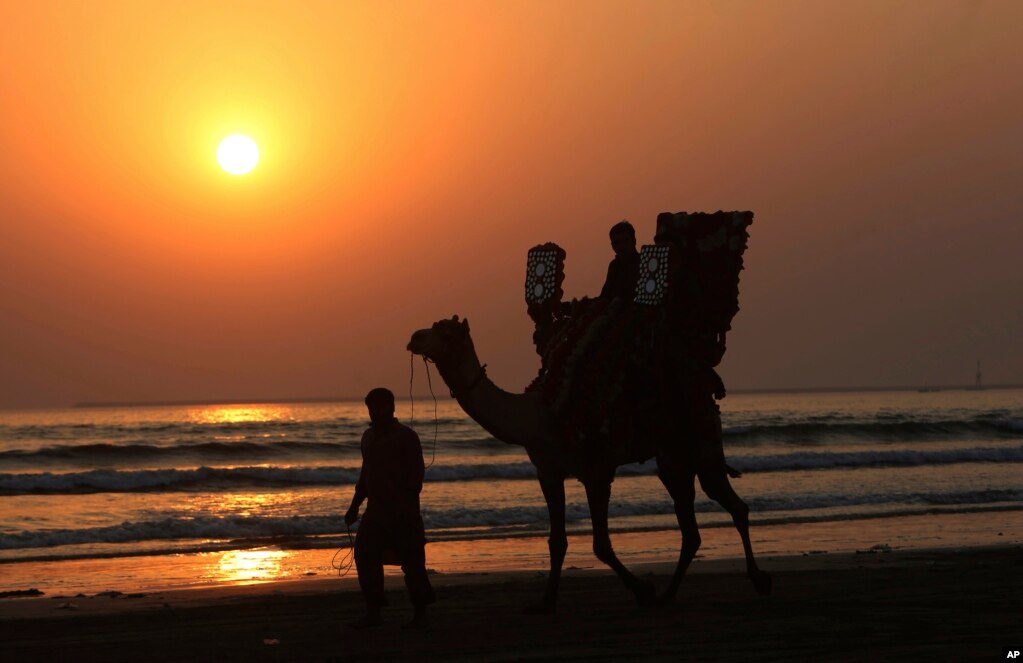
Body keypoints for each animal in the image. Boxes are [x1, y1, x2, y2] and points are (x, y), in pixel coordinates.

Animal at [405, 313, 769, 613]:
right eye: (433, 326)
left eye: (445, 333)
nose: (414, 337)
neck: (538, 417)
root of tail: (707, 395)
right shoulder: (548, 472)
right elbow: (557, 541)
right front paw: (545, 602)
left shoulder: (597, 471)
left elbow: (601, 544)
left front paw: (643, 590)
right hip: (673, 460)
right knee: (691, 527)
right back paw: (669, 594)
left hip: (703, 445)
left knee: (734, 506)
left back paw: (756, 579)